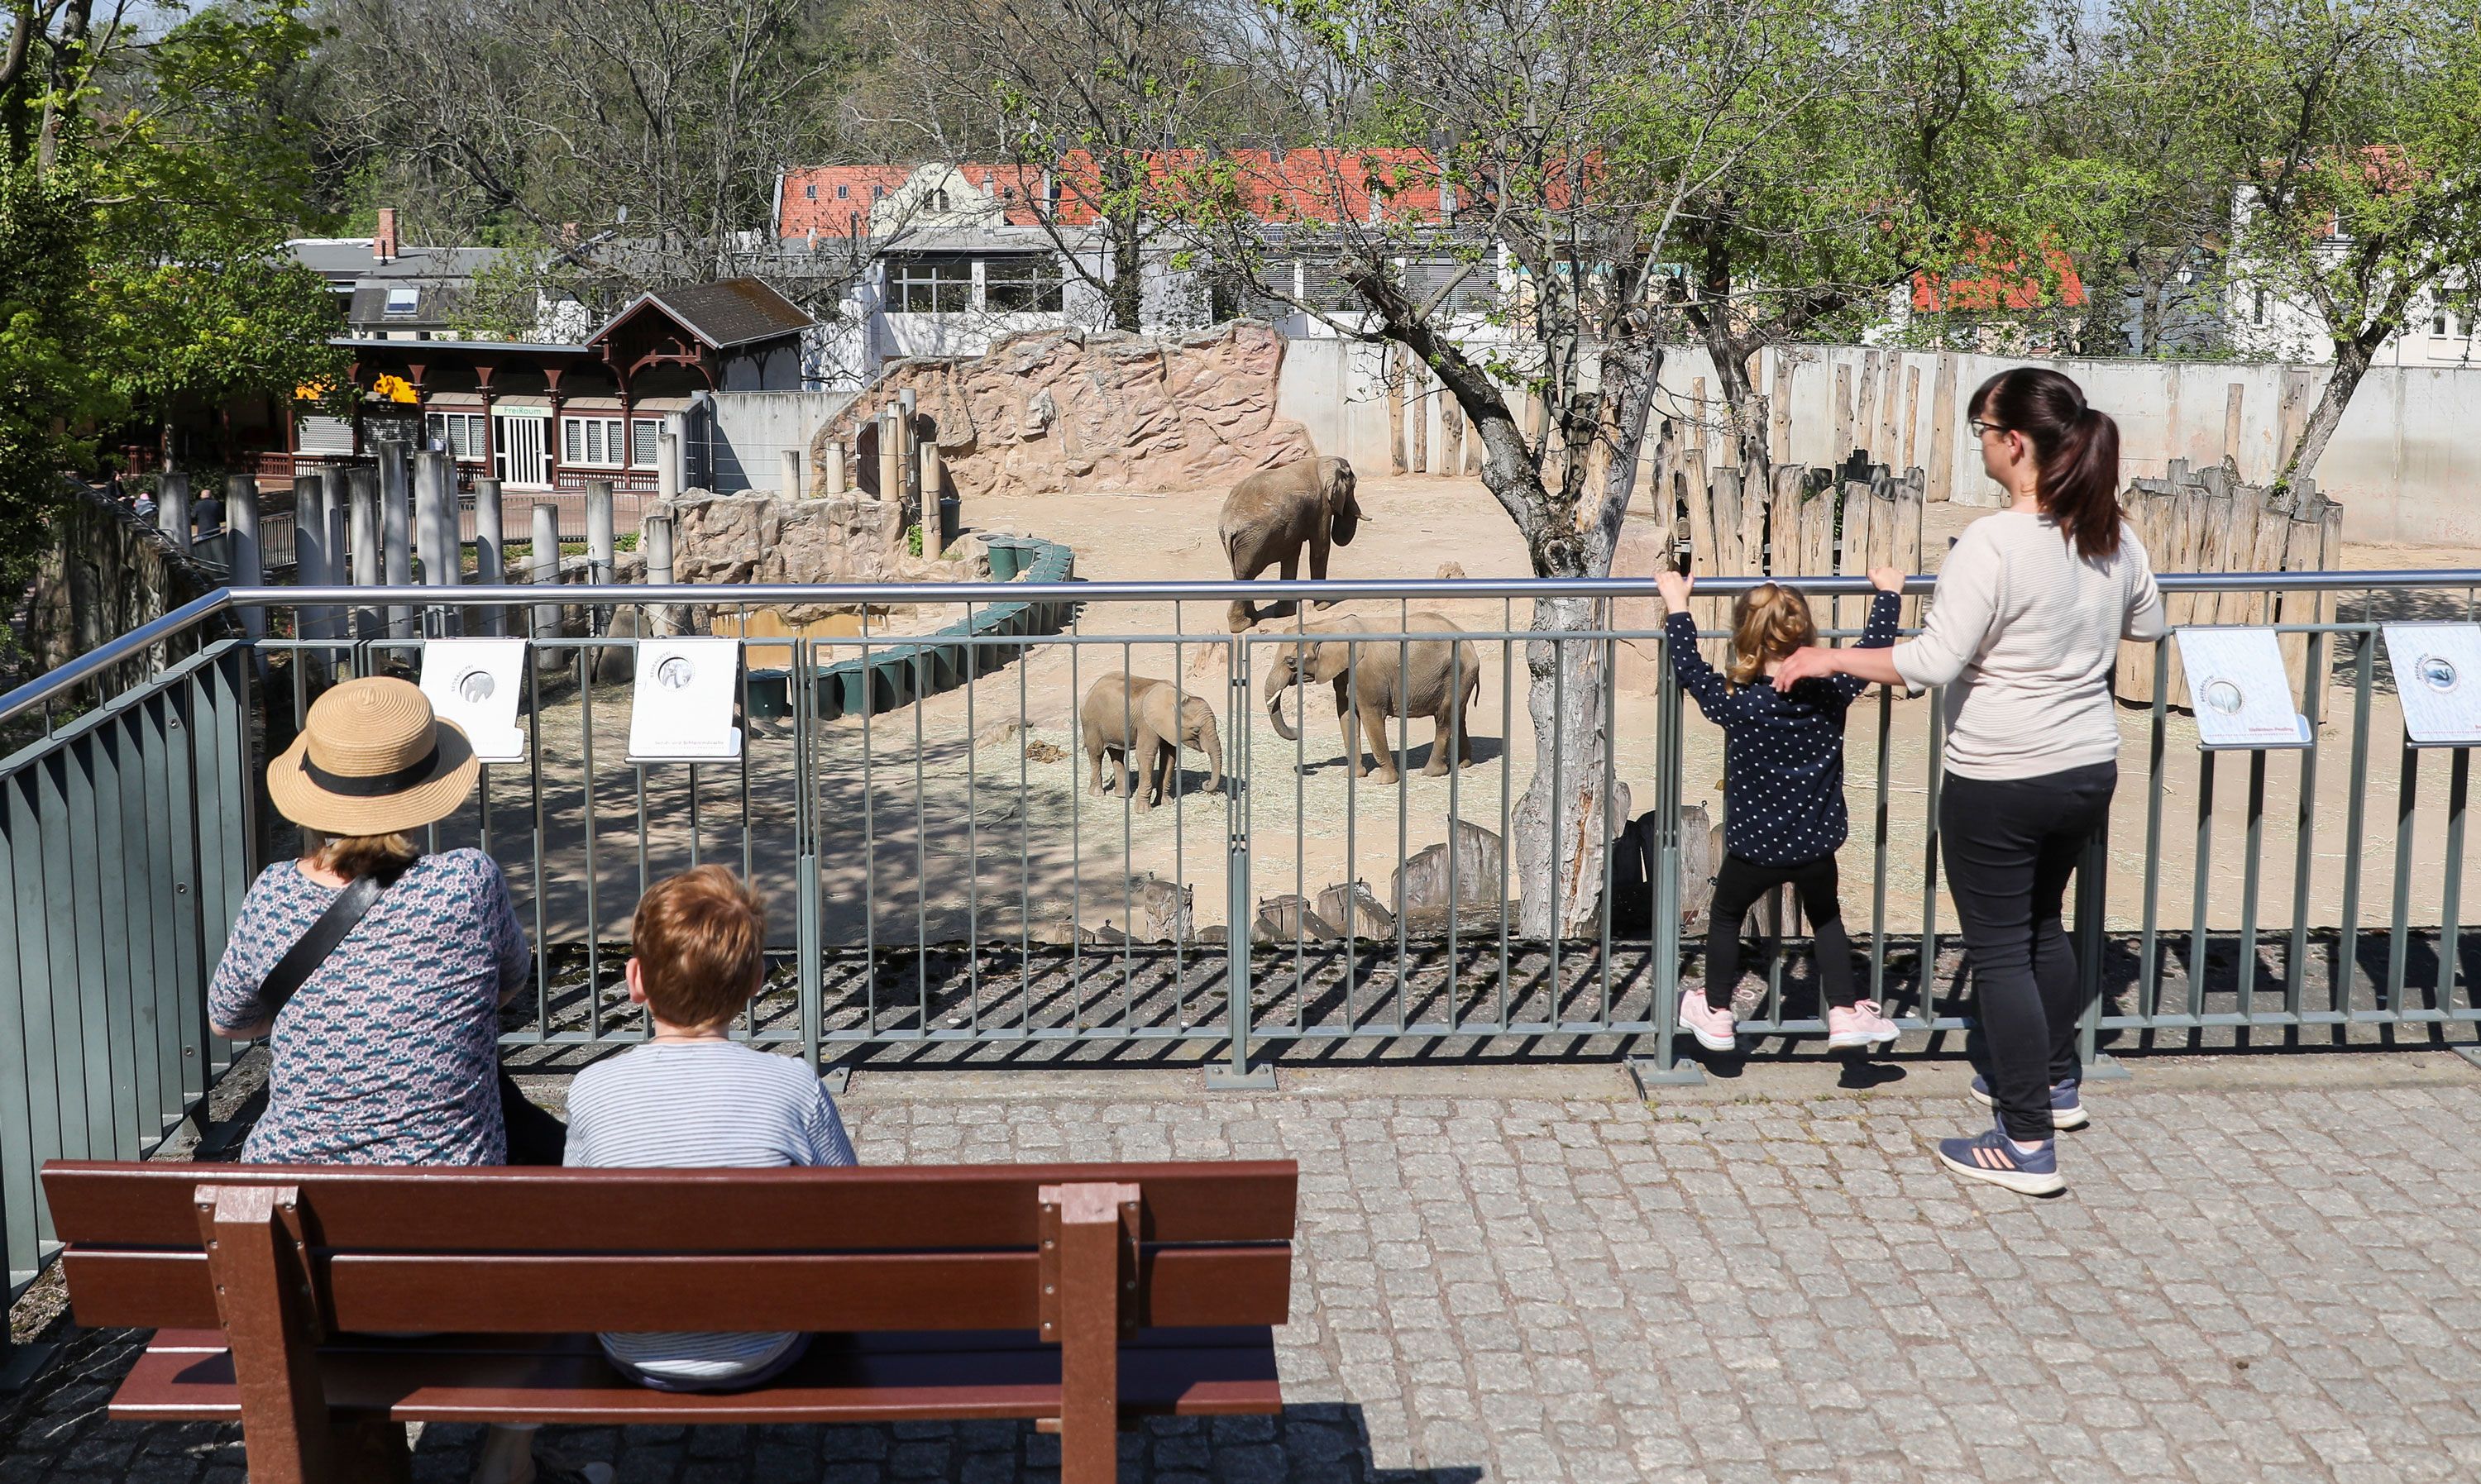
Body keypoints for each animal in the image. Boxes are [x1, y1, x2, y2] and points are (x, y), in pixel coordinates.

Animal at [1077, 675, 1221, 814]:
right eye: (1196, 730)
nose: (1205, 783)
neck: (1177, 698)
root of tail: (1093, 687)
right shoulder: (1146, 723)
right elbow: (1145, 755)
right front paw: (1143, 811)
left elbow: (1169, 757)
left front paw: (1166, 803)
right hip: (1091, 722)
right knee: (1096, 754)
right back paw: (1097, 794)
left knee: (1117, 753)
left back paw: (1122, 795)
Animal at [1216, 459, 1360, 632]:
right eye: (1353, 486)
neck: (1322, 462)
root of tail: (1229, 524)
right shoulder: (1322, 507)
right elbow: (1320, 550)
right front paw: (1323, 606)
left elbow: (1292, 555)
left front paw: (1285, 613)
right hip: (1252, 541)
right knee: (1246, 574)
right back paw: (1243, 625)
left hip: (1237, 541)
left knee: (1239, 573)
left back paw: (1254, 618)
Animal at [1260, 613, 1469, 784]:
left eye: (1290, 662)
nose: (1297, 730)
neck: (1329, 625)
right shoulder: (1344, 672)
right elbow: (1346, 715)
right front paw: (1352, 776)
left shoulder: (1366, 674)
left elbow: (1370, 715)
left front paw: (1385, 781)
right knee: (1458, 717)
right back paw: (1463, 764)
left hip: (1455, 675)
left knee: (1444, 719)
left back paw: (1431, 772)